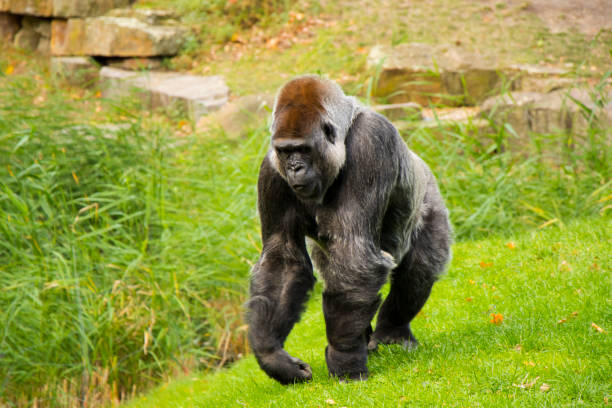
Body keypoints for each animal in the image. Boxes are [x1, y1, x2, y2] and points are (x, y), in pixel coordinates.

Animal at [246, 75, 452, 384]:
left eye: (303, 149)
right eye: (285, 151)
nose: (294, 168)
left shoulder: (370, 143)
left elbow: (356, 253)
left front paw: (344, 357)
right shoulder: (270, 170)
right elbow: (281, 262)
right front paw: (273, 357)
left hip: (428, 199)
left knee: (419, 269)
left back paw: (392, 332)